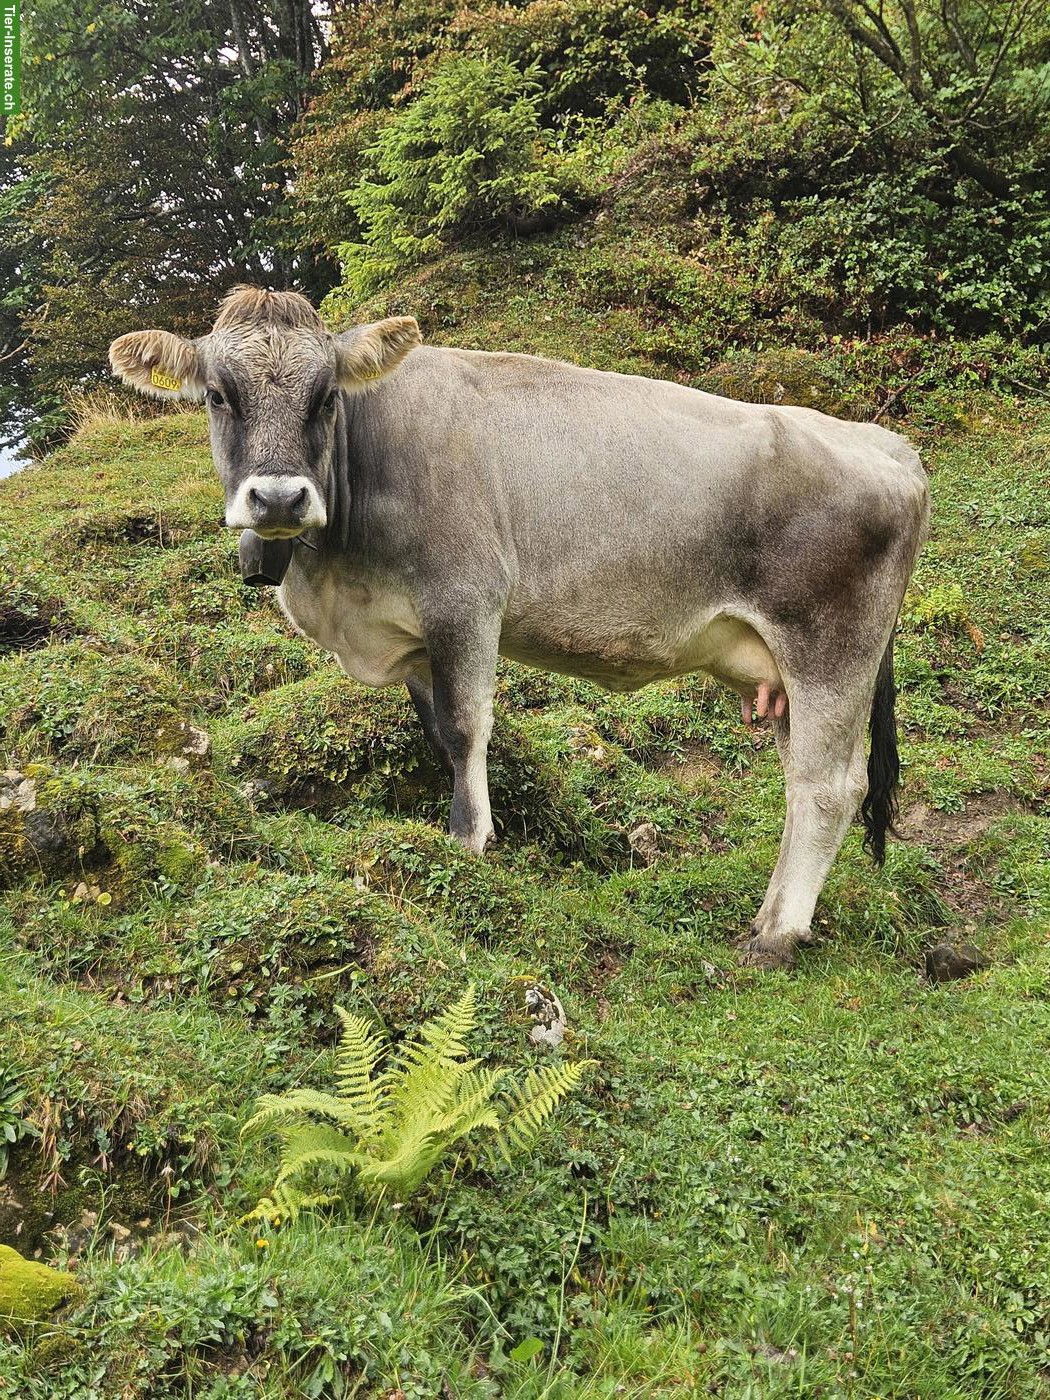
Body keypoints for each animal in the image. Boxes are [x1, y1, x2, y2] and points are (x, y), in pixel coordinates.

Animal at [110, 286, 929, 968]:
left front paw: (469, 842)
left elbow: (468, 726)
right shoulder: (414, 637)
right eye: (220, 395)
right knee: (804, 784)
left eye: (325, 397)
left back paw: (777, 935)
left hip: (830, 648)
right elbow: (439, 733)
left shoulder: (467, 599)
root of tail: (882, 440)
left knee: (827, 787)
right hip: (787, 672)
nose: (279, 499)